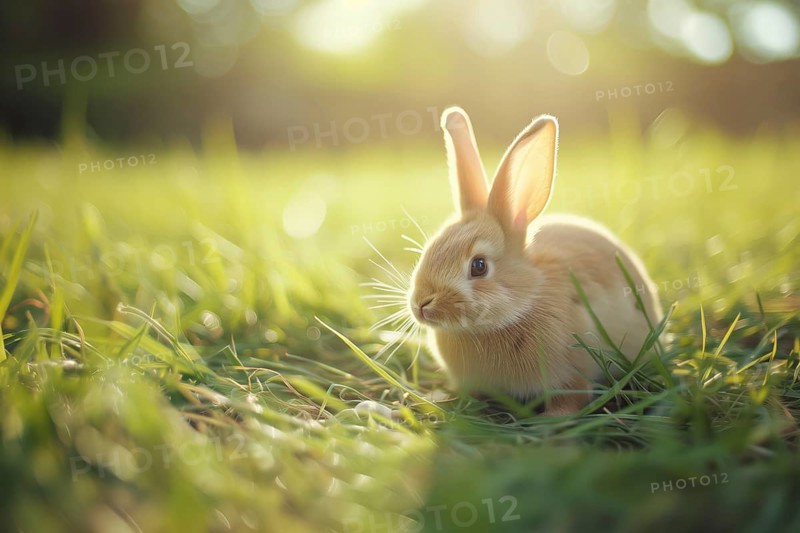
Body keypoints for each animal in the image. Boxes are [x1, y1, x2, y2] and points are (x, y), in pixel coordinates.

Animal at [407, 107, 664, 416]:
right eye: (429, 249)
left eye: (479, 266)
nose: (421, 305)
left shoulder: (571, 372)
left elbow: (571, 398)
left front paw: (552, 421)